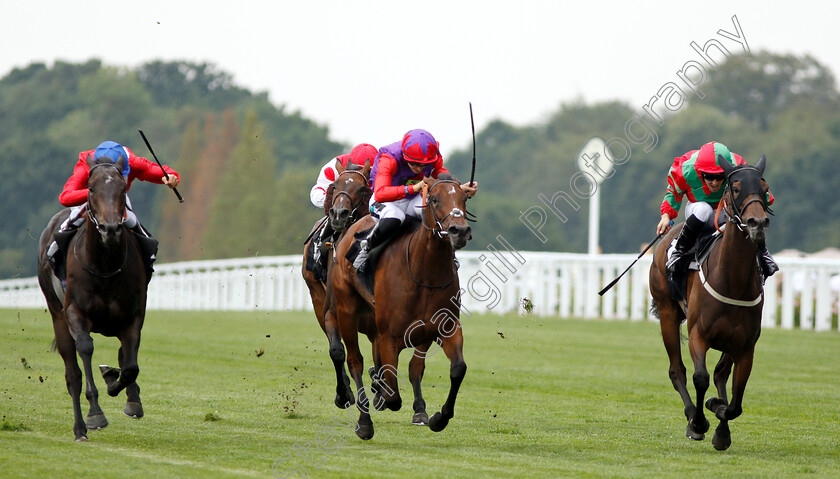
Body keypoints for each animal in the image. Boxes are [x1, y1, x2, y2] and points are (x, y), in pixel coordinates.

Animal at [36, 155, 148, 442]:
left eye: (123, 188)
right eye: (91, 189)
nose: (110, 229)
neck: (105, 266)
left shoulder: (133, 317)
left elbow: (130, 366)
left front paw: (120, 387)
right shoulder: (75, 312)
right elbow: (85, 349)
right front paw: (95, 414)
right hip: (57, 314)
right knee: (72, 373)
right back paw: (80, 429)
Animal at [302, 160, 368, 408]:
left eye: (362, 188)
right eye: (335, 185)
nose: (339, 214)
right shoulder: (332, 308)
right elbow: (337, 350)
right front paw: (344, 394)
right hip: (316, 296)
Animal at [324, 176, 470, 438]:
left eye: (464, 198)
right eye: (434, 199)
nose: (459, 230)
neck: (425, 274)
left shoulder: (445, 328)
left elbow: (456, 369)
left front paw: (438, 418)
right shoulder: (389, 337)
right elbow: (392, 395)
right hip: (346, 311)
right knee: (354, 360)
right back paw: (364, 421)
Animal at [648, 156, 776, 452]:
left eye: (764, 188)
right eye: (736, 188)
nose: (757, 223)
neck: (733, 280)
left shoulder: (745, 346)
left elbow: (735, 400)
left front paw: (720, 422)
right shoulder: (698, 335)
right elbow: (700, 378)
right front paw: (698, 422)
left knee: (720, 374)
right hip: (668, 315)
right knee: (677, 371)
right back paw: (691, 416)